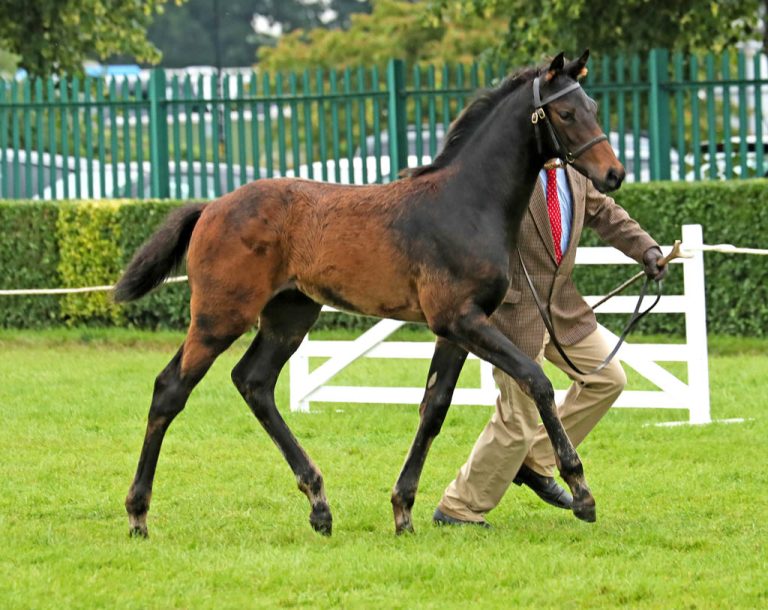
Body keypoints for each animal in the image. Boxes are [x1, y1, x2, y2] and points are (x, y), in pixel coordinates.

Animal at [114, 50, 624, 538]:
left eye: (594, 108)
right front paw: (581, 492)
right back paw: (138, 514)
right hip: (220, 316)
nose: (614, 174)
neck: (465, 202)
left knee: (253, 382)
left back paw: (319, 506)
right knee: (171, 389)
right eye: (565, 113)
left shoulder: (456, 328)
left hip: (289, 316)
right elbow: (536, 380)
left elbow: (434, 408)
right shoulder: (460, 319)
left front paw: (403, 510)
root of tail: (211, 207)